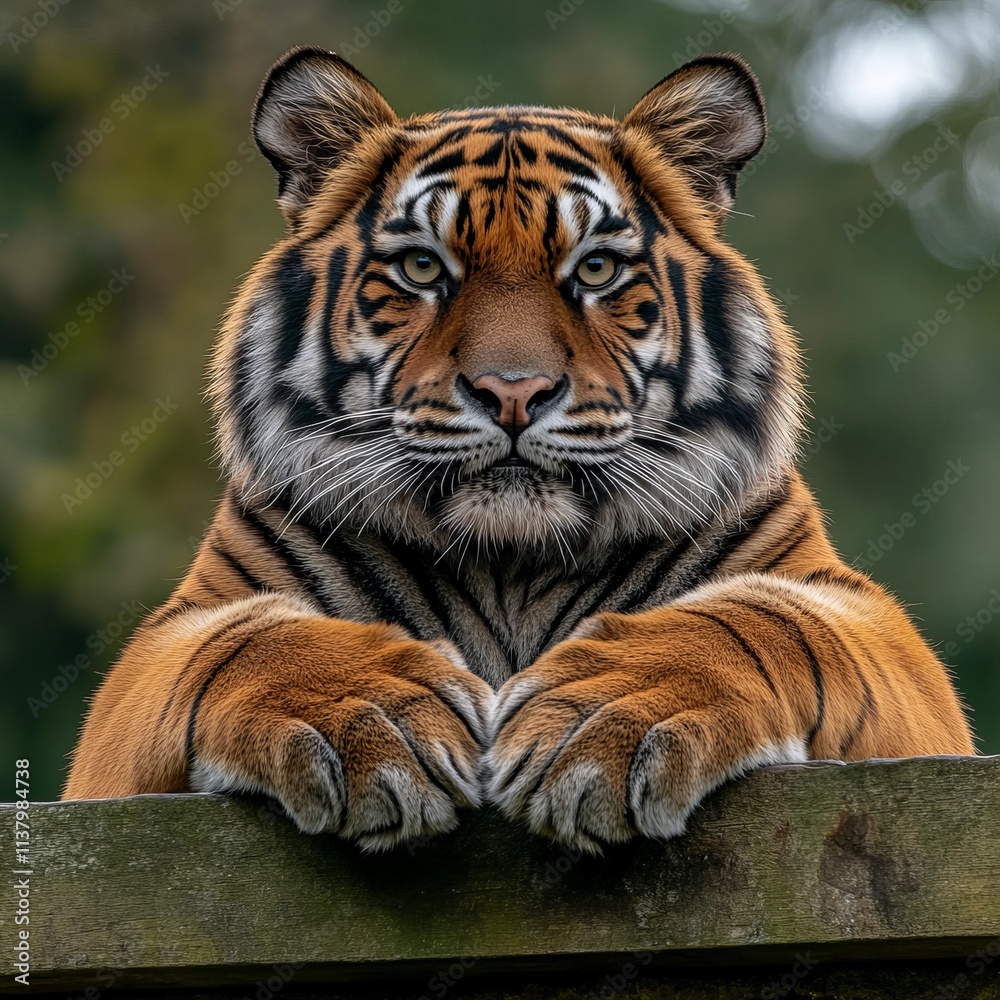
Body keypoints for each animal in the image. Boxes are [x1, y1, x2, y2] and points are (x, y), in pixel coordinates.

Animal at [64, 47, 975, 853]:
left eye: (597, 269)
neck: (511, 563)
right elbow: (246, 636)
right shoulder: (165, 651)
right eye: (422, 267)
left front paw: (611, 711)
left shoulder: (870, 631)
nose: (512, 393)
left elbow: (762, 613)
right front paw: (374, 712)